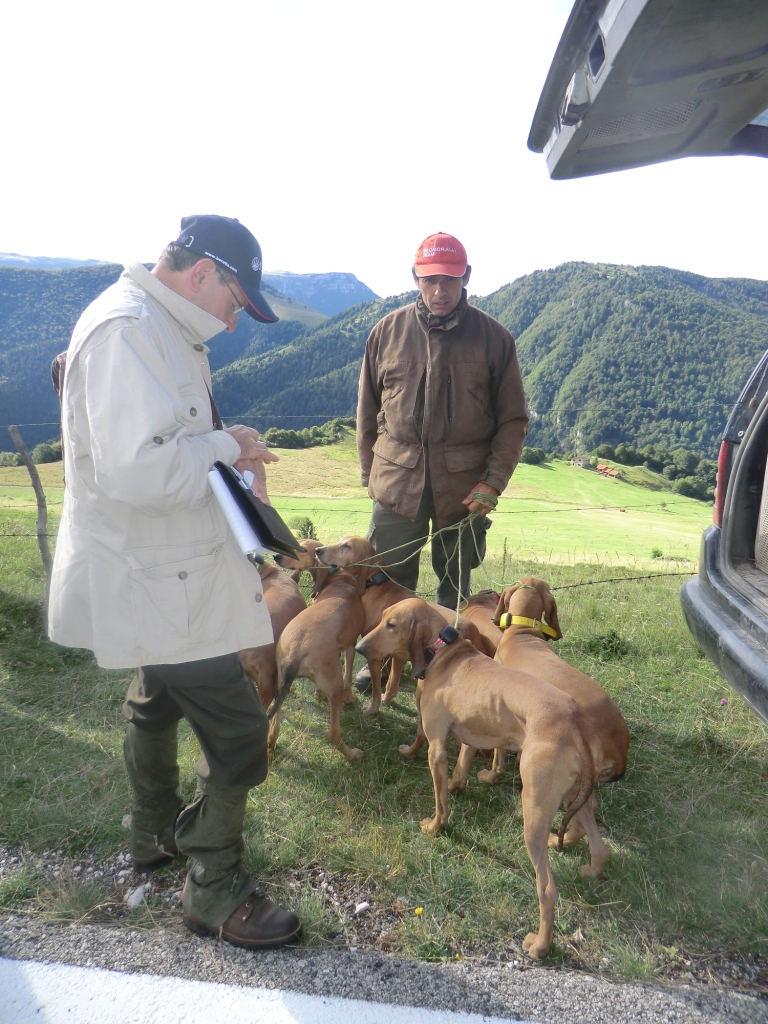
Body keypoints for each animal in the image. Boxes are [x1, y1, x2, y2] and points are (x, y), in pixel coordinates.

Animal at [273, 567, 372, 761]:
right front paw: (350, 698)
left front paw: (319, 694)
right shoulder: (351, 646)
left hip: (280, 685)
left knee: (274, 727)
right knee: (333, 733)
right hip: (335, 688)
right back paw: (352, 755)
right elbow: (348, 673)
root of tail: (296, 651)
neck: (341, 582)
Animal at [356, 596, 596, 960]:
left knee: (547, 890)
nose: (358, 648)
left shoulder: (438, 750)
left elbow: (440, 800)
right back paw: (584, 861)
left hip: (534, 814)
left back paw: (540, 946)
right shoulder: (460, 737)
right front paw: (438, 771)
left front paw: (436, 827)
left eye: (392, 625)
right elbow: (448, 756)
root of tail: (575, 722)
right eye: (381, 617)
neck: (444, 652)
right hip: (574, 798)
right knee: (594, 838)